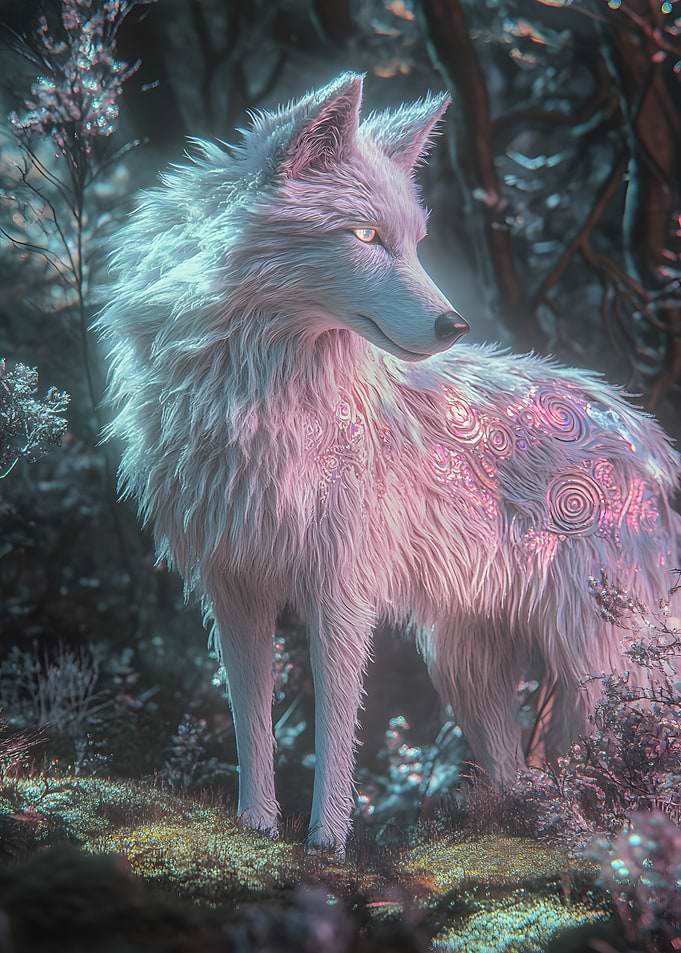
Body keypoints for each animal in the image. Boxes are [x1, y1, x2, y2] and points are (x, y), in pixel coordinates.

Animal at [96, 72, 680, 852]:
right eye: (367, 237)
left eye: (413, 244)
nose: (453, 325)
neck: (254, 389)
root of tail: (646, 433)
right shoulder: (234, 583)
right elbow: (252, 720)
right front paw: (257, 827)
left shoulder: (341, 586)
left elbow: (336, 721)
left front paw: (328, 842)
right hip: (468, 668)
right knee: (514, 772)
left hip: (601, 668)